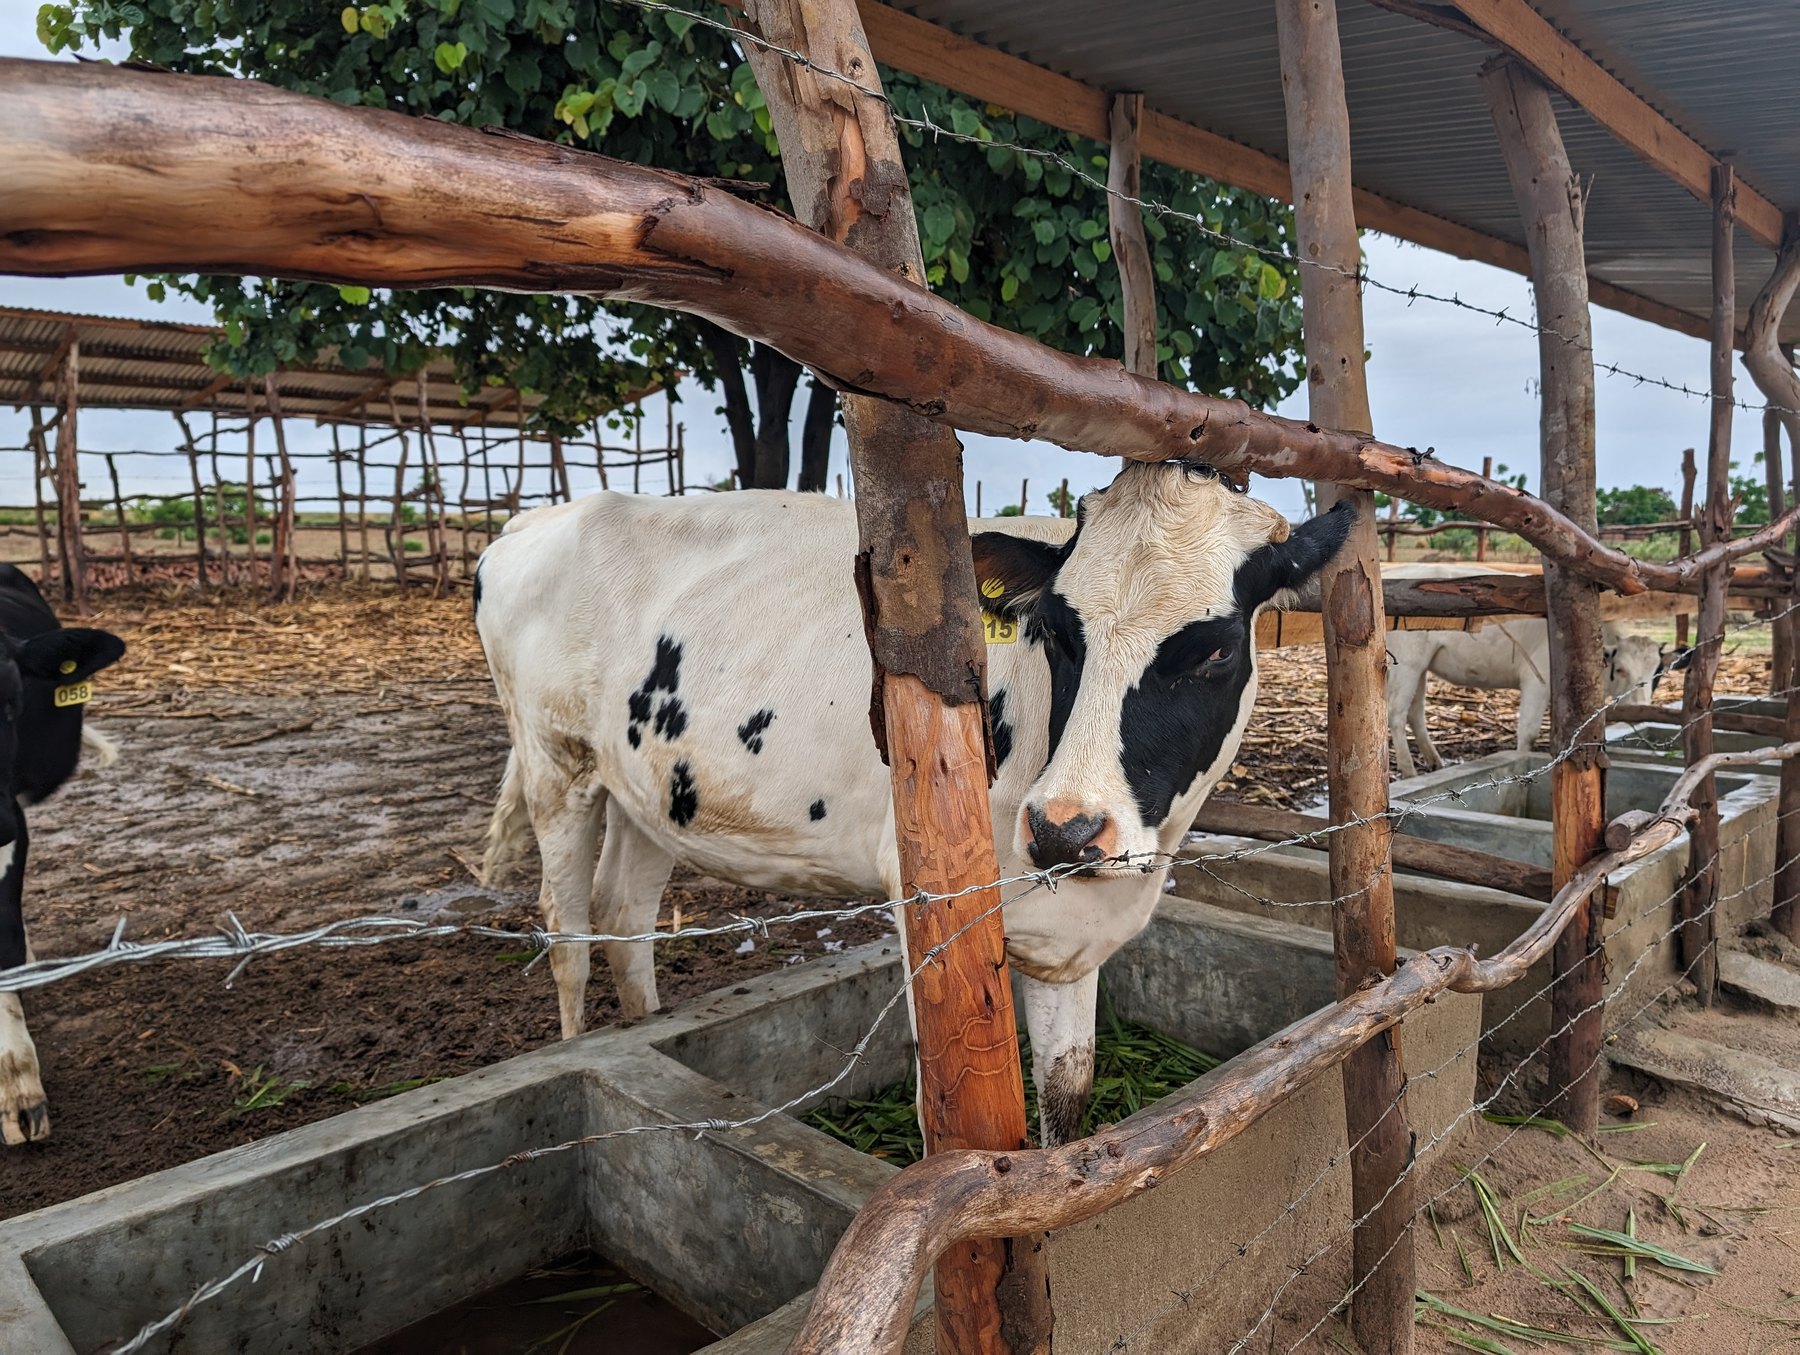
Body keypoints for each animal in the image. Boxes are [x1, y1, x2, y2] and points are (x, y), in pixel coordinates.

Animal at [474, 460, 1353, 1146]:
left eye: (1214, 650)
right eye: (1056, 632)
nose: (1063, 830)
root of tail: (537, 518)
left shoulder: (1071, 924)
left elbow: (1067, 1093)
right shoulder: (928, 897)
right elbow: (947, 1115)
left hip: (651, 791)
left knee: (625, 916)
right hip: (557, 764)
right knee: (567, 931)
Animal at [1385, 602, 1676, 778]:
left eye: (1658, 671)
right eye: (1622, 668)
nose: (1640, 707)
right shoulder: (1537, 681)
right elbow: (1528, 734)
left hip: (1421, 666)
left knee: (1415, 713)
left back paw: (1434, 761)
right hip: (1406, 664)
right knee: (1397, 716)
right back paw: (1409, 770)